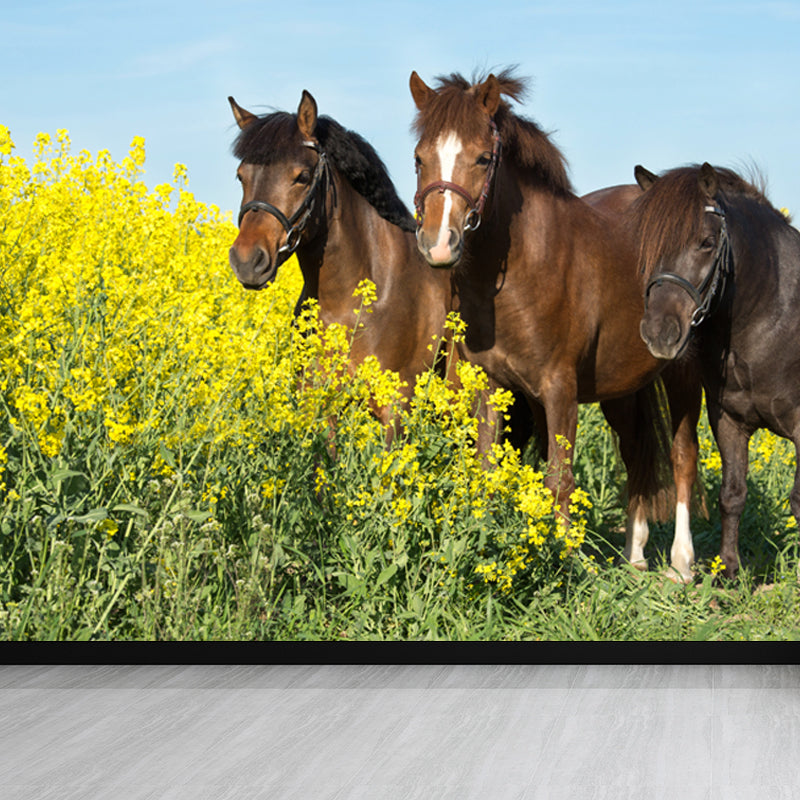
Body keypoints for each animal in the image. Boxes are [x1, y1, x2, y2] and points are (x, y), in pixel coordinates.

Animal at [228, 90, 531, 451]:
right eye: (242, 175)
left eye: (301, 176)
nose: (247, 261)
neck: (350, 301)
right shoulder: (322, 402)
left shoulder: (396, 408)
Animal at [409, 68, 704, 582]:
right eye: (419, 158)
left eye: (482, 158)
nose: (438, 245)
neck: (525, 268)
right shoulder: (493, 386)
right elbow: (488, 468)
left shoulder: (559, 388)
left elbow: (559, 478)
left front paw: (562, 560)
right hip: (621, 387)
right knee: (636, 453)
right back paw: (635, 555)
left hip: (682, 374)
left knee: (682, 457)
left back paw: (681, 564)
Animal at [633, 162, 800, 578]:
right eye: (648, 246)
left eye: (707, 243)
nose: (659, 333)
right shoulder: (728, 419)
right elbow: (732, 494)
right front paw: (728, 570)